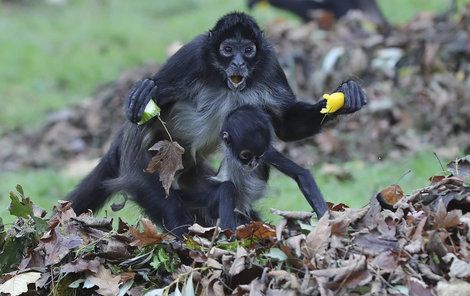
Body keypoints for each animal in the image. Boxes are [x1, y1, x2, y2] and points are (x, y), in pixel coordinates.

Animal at [66, 12, 368, 236]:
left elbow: (285, 125)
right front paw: (141, 96)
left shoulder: (269, 61)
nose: (238, 62)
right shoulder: (192, 54)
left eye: (248, 50)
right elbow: (152, 100)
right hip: (146, 170)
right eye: (227, 50)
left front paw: (345, 98)